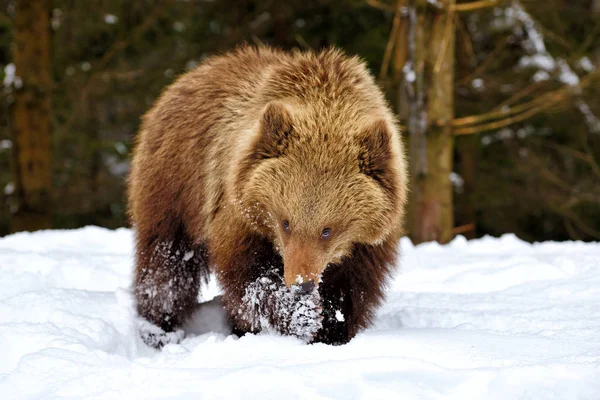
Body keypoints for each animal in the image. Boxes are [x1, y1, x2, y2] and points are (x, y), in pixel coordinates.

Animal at [126, 46, 408, 346]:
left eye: (327, 230)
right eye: (286, 223)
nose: (301, 284)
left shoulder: (367, 247)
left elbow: (353, 291)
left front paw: (332, 329)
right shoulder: (241, 214)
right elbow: (250, 278)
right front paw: (301, 317)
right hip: (174, 188)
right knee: (166, 266)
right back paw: (158, 328)